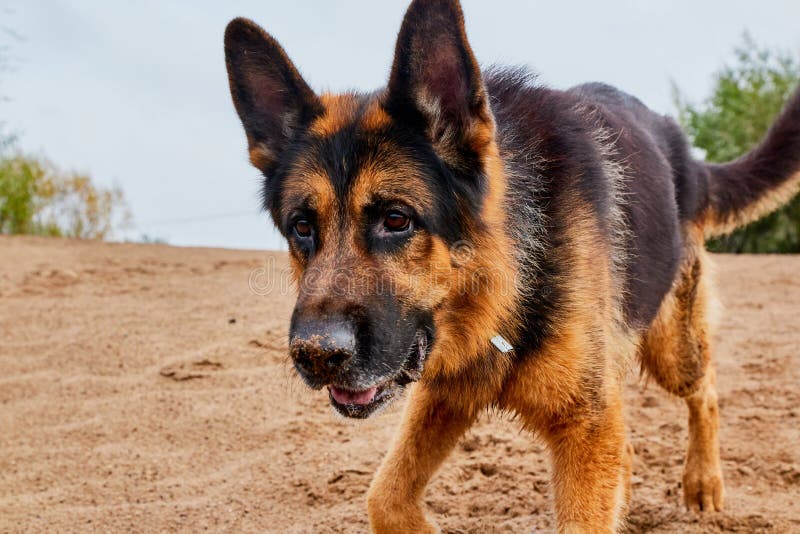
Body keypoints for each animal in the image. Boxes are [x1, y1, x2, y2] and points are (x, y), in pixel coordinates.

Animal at [225, 0, 800, 532]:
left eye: (397, 219)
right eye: (302, 227)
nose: (317, 356)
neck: (510, 279)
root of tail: (687, 156)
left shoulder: (584, 427)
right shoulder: (446, 395)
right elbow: (383, 497)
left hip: (670, 348)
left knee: (706, 391)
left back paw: (703, 479)